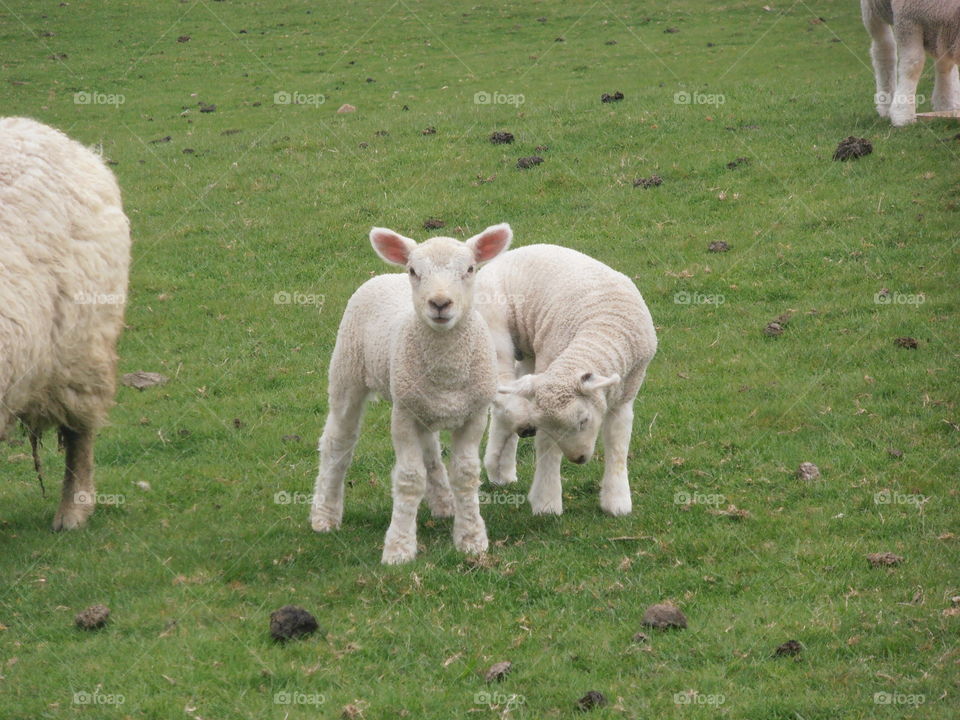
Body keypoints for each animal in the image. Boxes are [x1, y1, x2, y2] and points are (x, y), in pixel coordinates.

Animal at [312, 224, 512, 564]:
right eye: (414, 271)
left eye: (470, 269)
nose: (440, 303)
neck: (447, 372)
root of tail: (382, 275)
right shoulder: (402, 417)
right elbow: (408, 479)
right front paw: (399, 547)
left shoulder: (473, 414)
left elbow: (466, 475)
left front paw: (471, 538)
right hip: (347, 372)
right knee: (337, 442)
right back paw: (324, 515)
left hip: (418, 400)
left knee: (429, 450)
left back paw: (444, 504)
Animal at [476, 245, 656, 516]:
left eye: (583, 421)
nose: (578, 459)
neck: (601, 329)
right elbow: (547, 448)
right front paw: (547, 503)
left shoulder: (625, 394)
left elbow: (617, 443)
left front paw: (617, 502)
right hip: (496, 332)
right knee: (501, 395)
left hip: (530, 354)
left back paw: (501, 471)